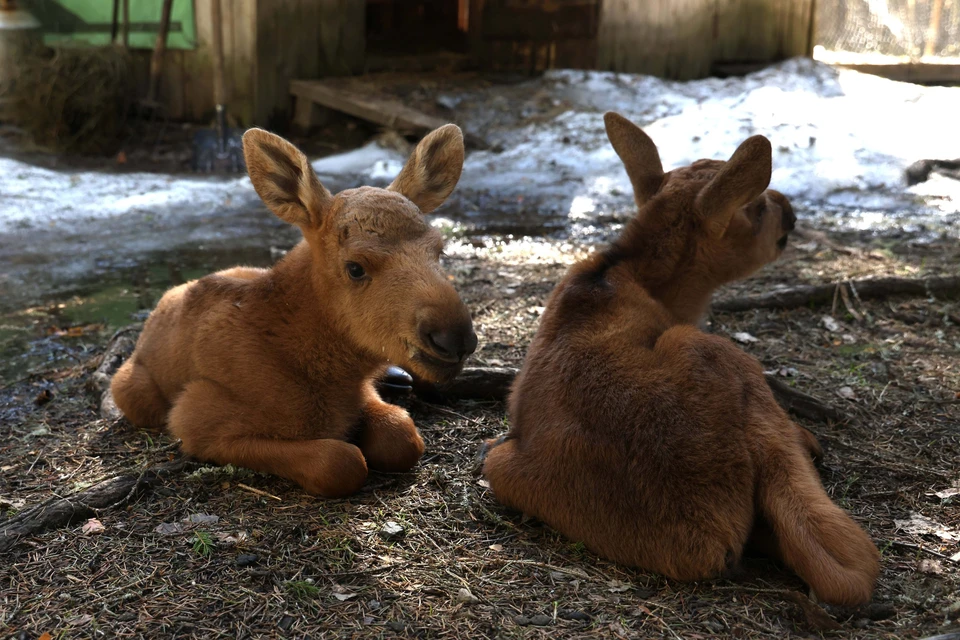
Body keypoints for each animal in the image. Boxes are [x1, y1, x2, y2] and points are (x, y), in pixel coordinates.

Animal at [110, 124, 478, 496]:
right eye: (355, 268)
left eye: (440, 251)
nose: (453, 338)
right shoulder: (194, 418)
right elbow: (340, 462)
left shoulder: (362, 393)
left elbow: (403, 438)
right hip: (131, 391)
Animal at [484, 112, 880, 608]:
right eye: (757, 207)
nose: (790, 208)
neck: (646, 278)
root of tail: (703, 540)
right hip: (716, 352)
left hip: (498, 463)